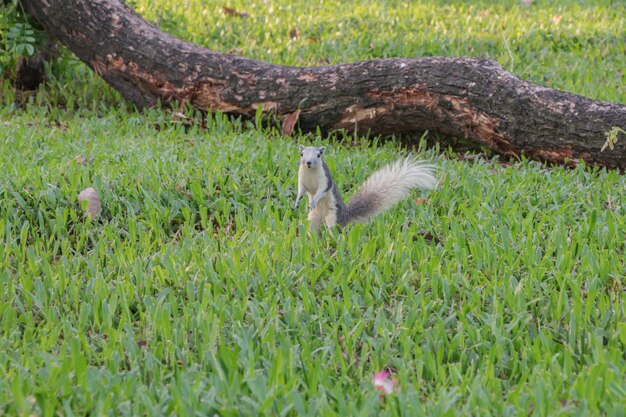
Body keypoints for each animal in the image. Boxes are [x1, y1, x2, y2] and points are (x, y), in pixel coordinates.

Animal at [294, 145, 436, 231]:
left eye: (318, 155)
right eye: (301, 154)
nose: (308, 162)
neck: (310, 172)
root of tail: (346, 215)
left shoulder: (325, 179)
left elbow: (322, 190)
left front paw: (314, 199)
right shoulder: (301, 179)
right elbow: (301, 189)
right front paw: (297, 201)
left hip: (334, 217)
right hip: (313, 219)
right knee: (313, 230)